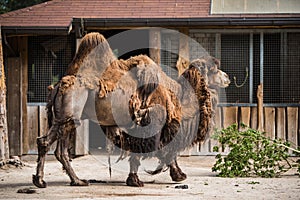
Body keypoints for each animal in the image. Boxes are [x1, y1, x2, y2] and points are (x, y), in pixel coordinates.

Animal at [32, 31, 230, 188]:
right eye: (214, 69)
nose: (227, 77)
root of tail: (58, 86)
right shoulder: (155, 120)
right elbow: (164, 150)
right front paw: (176, 176)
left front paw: (137, 179)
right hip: (69, 114)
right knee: (46, 142)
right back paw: (41, 181)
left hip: (65, 119)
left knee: (58, 149)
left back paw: (76, 181)